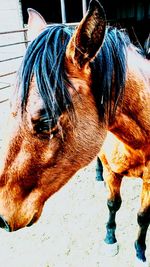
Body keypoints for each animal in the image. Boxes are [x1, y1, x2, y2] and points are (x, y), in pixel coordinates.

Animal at [0, 0, 149, 264]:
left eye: (46, 121)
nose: (1, 217)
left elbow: (142, 217)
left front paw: (140, 250)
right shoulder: (112, 171)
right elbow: (113, 204)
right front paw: (110, 239)